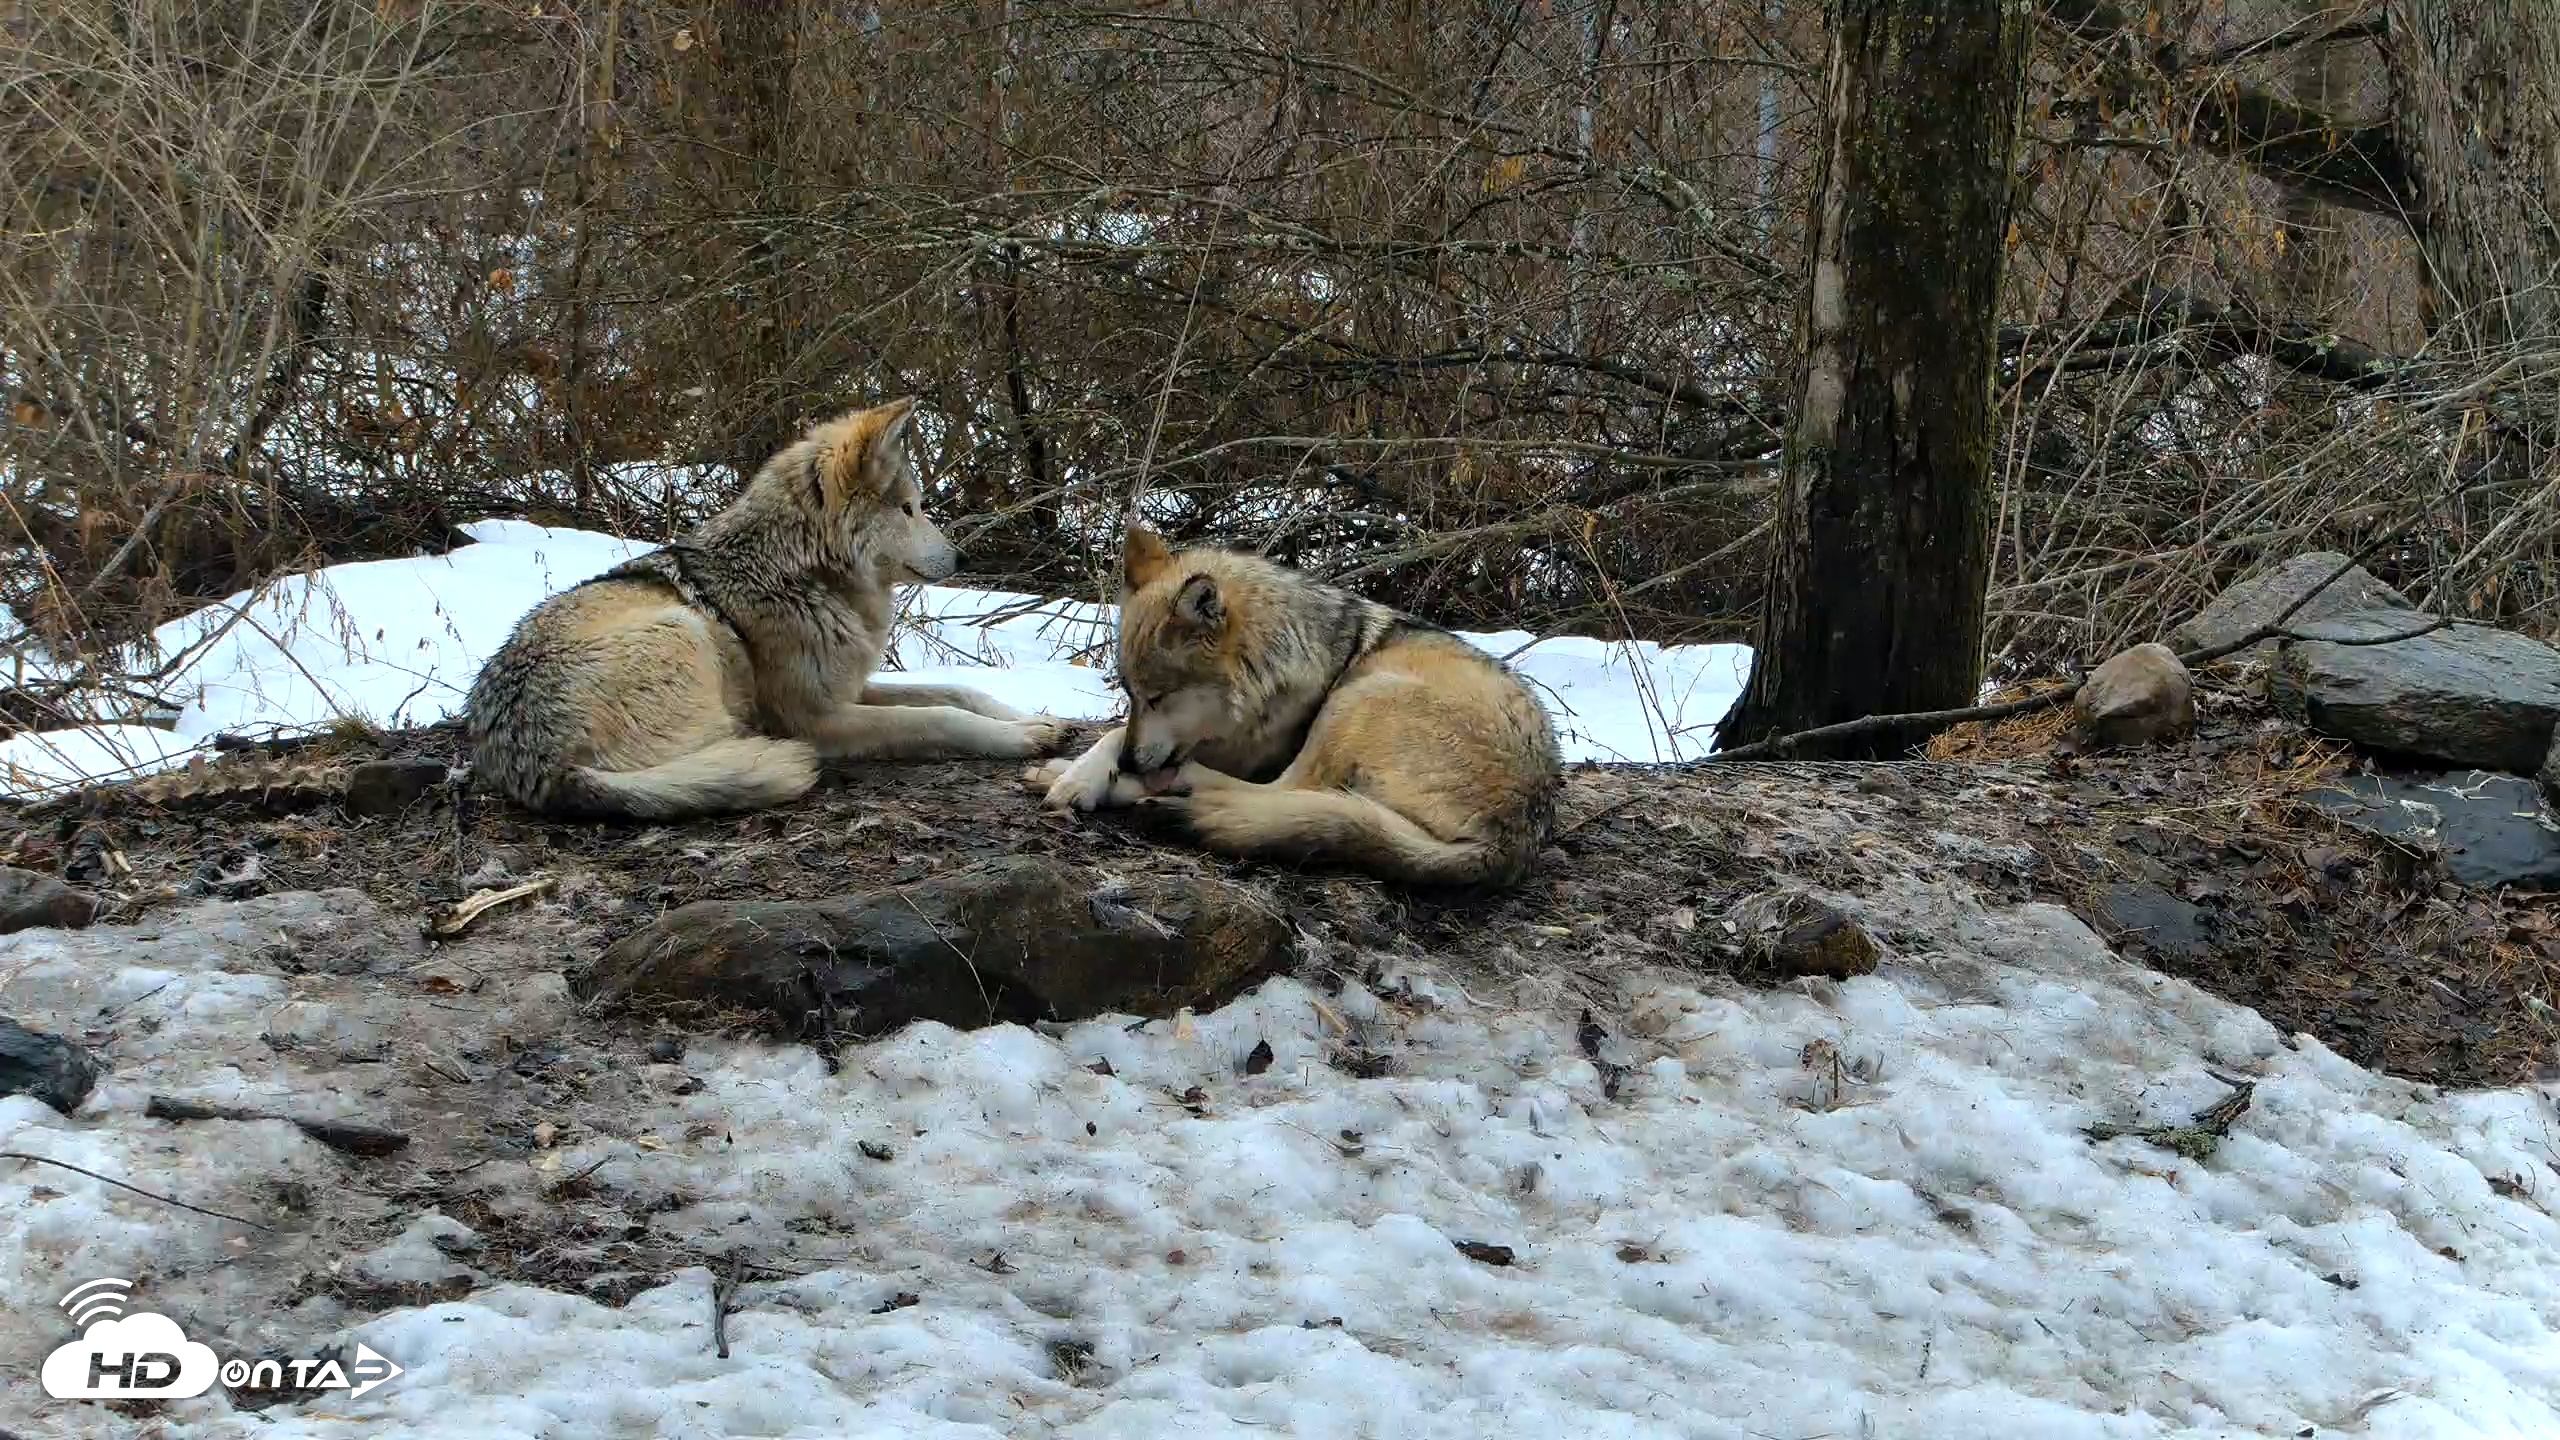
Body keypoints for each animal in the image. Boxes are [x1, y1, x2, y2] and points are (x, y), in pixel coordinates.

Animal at [465, 398, 1066, 819]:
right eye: (908, 508)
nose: (964, 557)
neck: (796, 574)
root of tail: (543, 769)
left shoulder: (847, 687)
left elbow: (957, 691)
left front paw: (1035, 719)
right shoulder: (816, 718)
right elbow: (937, 716)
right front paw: (1018, 739)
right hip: (684, 630)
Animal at [1023, 525, 1562, 887]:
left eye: (1159, 697)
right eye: (1129, 692)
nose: (1134, 763)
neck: (1273, 662)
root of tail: (1514, 840)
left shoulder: (1245, 748)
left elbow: (1118, 733)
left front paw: (1081, 778)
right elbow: (1115, 731)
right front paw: (1077, 772)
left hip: (1358, 696)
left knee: (1284, 791)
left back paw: (1160, 790)